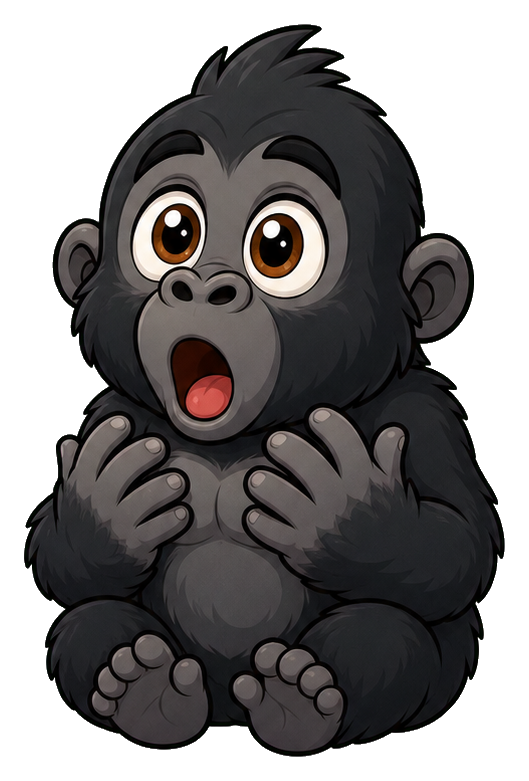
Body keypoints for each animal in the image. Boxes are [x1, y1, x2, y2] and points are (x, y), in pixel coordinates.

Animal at [28, 30, 499, 751]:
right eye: (174, 234)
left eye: (277, 245)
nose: (200, 285)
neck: (236, 438)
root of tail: (226, 704)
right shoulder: (112, 413)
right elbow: (59, 560)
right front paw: (99, 509)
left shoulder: (424, 414)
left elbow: (458, 546)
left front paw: (352, 514)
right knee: (88, 625)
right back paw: (144, 689)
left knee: (390, 639)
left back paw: (301, 699)